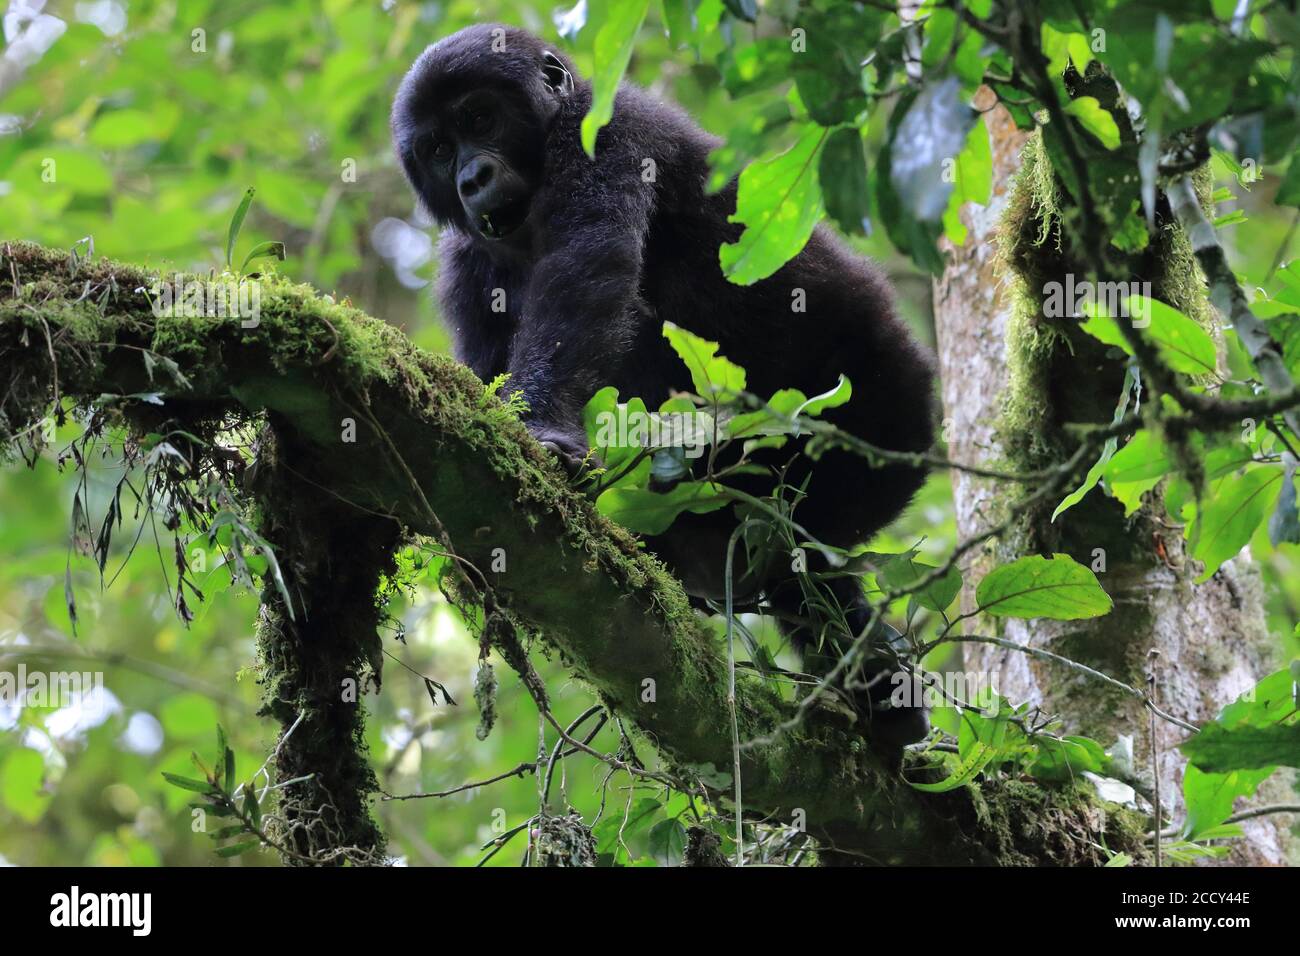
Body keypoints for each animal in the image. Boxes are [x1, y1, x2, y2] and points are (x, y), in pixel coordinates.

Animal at [390, 22, 941, 749]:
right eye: (438, 148)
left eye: (479, 118)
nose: (471, 175)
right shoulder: (463, 268)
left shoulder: (605, 131)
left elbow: (586, 273)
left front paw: (544, 433)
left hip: (883, 412)